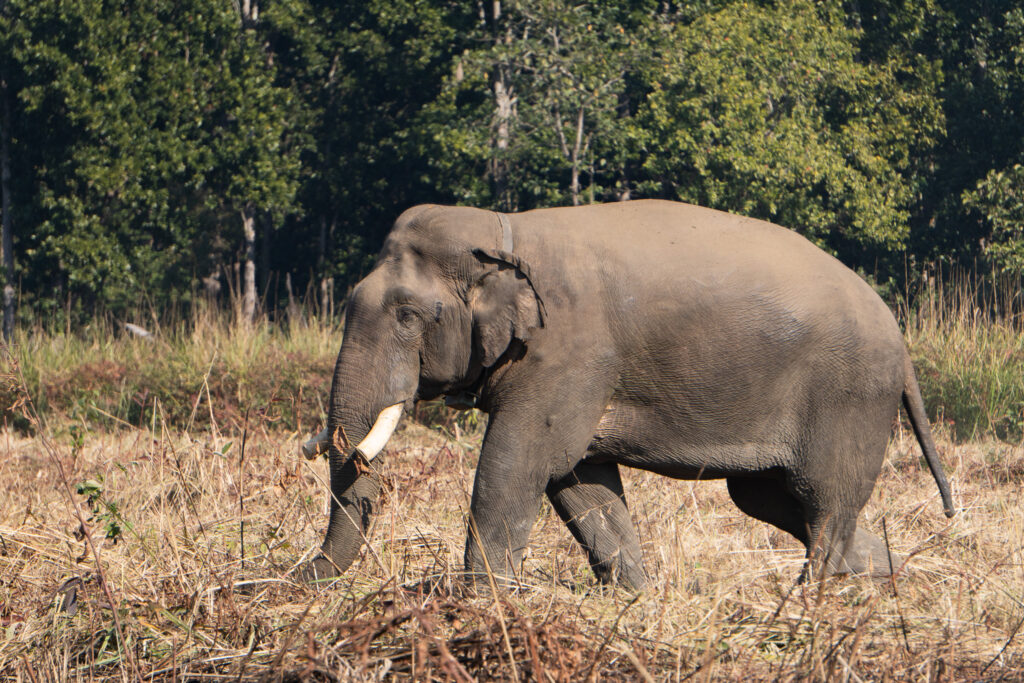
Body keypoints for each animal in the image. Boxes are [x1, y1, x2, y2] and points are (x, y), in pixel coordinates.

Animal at [302, 200, 954, 590]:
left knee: (824, 503)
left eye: (408, 315)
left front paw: (479, 599)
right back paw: (890, 577)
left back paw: (808, 601)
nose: (299, 576)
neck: (505, 229)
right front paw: (635, 596)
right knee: (769, 498)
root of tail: (899, 337)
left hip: (849, 396)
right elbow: (580, 481)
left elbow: (517, 464)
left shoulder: (568, 356)